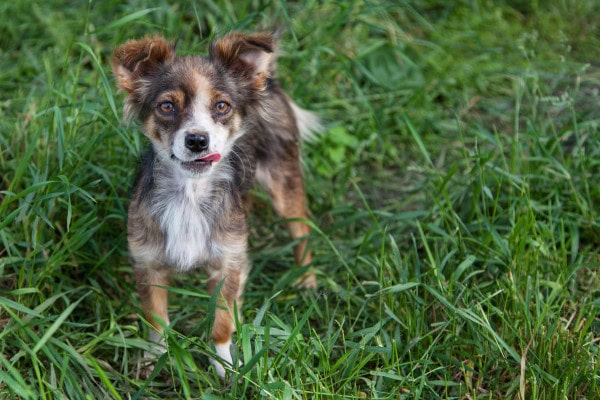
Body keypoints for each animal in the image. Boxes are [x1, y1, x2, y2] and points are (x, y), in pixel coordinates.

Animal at [111, 32, 318, 378]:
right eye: (167, 106)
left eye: (222, 106)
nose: (197, 140)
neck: (190, 194)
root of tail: (268, 79)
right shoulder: (148, 264)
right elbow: (156, 321)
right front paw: (156, 360)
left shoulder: (226, 264)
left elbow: (222, 322)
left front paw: (225, 367)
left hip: (284, 182)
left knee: (301, 228)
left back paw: (306, 279)